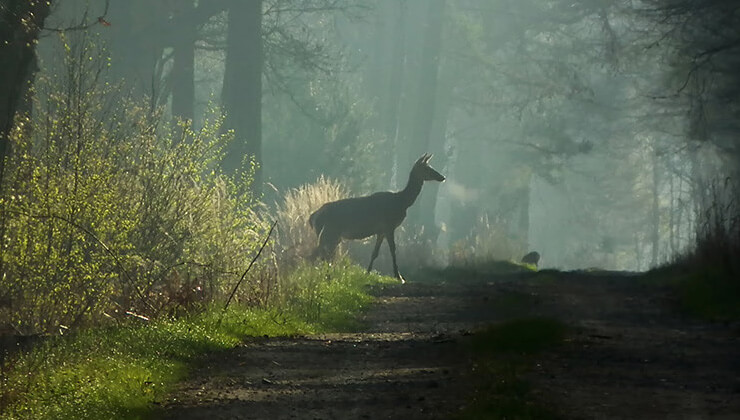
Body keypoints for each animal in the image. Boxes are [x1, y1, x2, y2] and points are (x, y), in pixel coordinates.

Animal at [308, 153, 446, 284]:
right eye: (427, 168)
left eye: (430, 166)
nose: (442, 177)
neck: (402, 202)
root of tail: (313, 216)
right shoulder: (389, 225)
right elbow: (393, 250)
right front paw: (399, 277)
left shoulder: (381, 231)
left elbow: (375, 253)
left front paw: (367, 273)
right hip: (330, 232)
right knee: (320, 254)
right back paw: (321, 277)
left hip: (331, 235)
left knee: (323, 254)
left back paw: (325, 276)